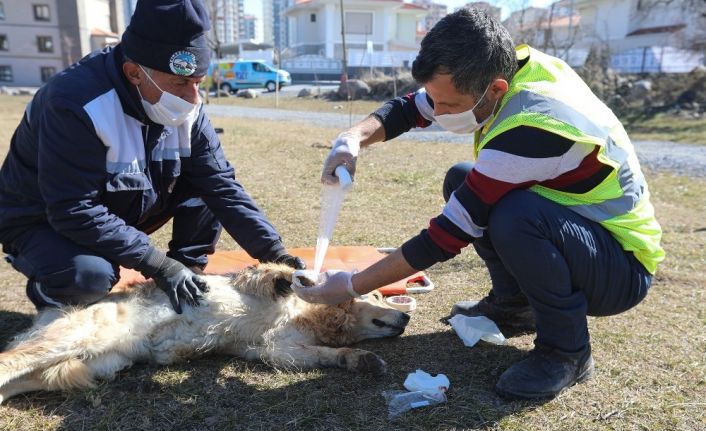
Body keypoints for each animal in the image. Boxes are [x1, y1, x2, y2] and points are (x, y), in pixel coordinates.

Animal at [0, 264, 408, 404]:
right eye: (375, 294)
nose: (405, 316)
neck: (310, 316)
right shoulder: (252, 284)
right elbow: (273, 271)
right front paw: (300, 275)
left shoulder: (279, 350)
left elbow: (328, 356)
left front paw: (361, 360)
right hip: (75, 338)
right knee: (9, 361)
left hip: (94, 363)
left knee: (19, 379)